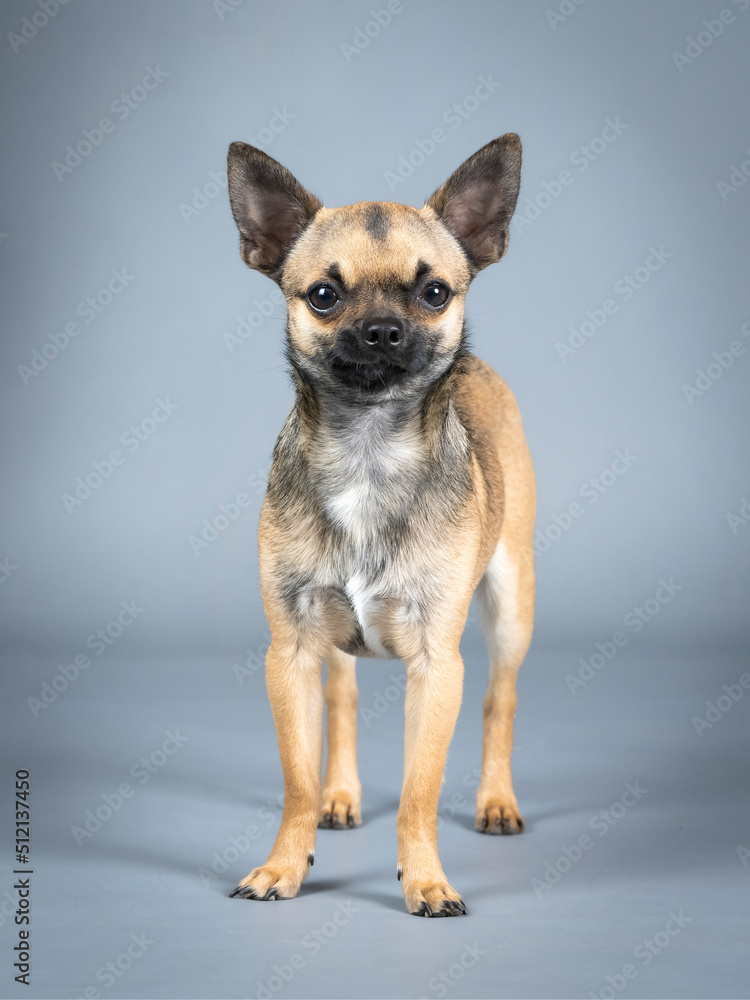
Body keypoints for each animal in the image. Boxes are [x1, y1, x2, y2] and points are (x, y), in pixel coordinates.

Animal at [225, 134, 535, 916]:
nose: (382, 331)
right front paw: (284, 865)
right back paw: (340, 797)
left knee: (501, 700)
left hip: (511, 607)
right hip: (329, 646)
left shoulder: (438, 666)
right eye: (324, 296)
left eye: (434, 293)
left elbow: (419, 794)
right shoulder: (291, 655)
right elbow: (296, 780)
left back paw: (495, 803)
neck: (368, 451)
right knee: (343, 699)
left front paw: (425, 880)